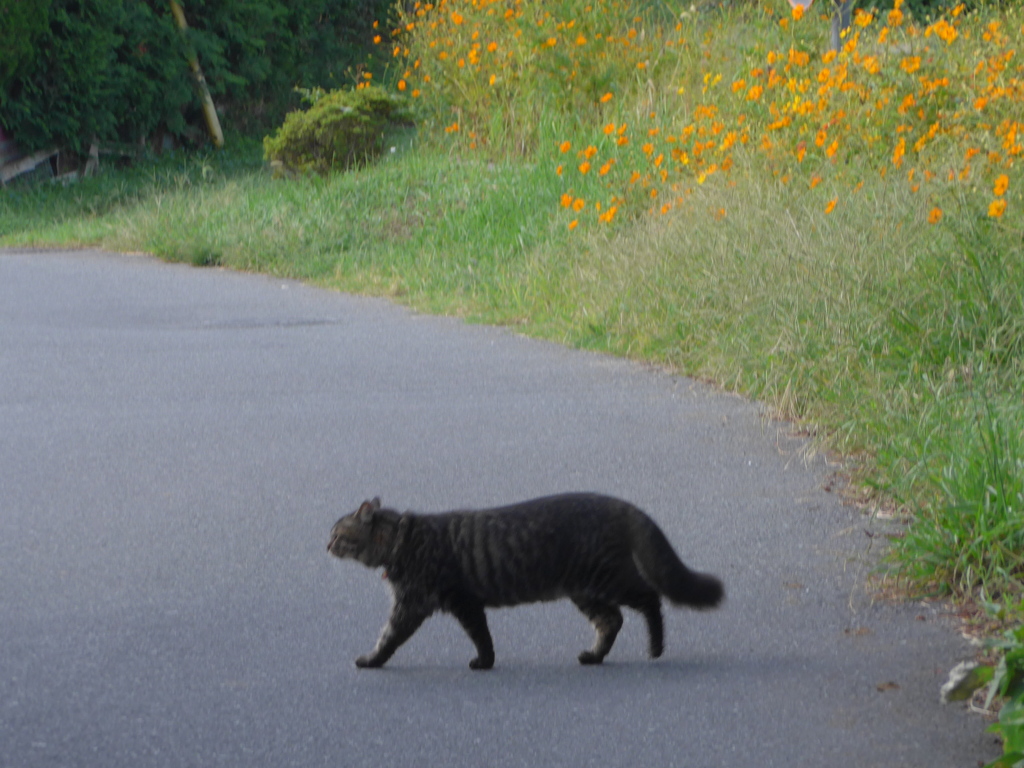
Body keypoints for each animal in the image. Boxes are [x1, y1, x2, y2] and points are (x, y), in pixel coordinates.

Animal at [325, 495, 720, 671]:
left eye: (337, 534)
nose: (325, 545)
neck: (402, 541)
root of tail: (617, 503)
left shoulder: (421, 603)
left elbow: (389, 637)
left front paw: (371, 660)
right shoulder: (463, 603)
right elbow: (482, 635)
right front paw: (486, 661)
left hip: (608, 579)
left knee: (650, 599)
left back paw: (656, 647)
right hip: (585, 590)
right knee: (612, 620)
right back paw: (593, 656)